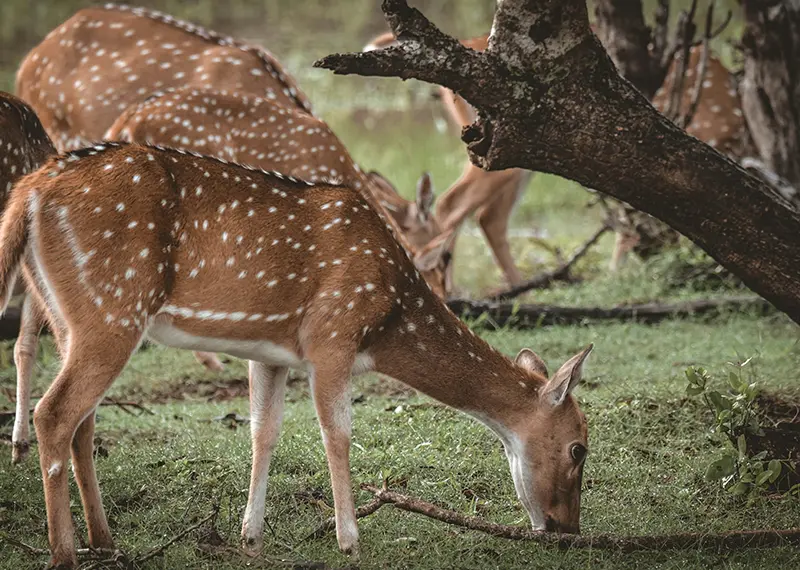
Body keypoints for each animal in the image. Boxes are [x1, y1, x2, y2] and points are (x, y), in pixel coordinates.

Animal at [0, 141, 593, 568]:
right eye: (579, 448)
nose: (568, 529)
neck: (387, 317)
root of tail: (28, 192)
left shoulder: (271, 352)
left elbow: (264, 432)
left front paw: (250, 536)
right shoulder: (332, 336)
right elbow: (338, 434)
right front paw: (350, 539)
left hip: (67, 314)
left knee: (83, 421)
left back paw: (105, 541)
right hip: (112, 308)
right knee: (55, 413)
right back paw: (64, 553)